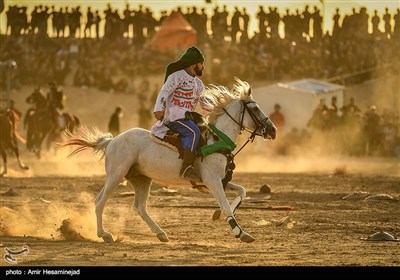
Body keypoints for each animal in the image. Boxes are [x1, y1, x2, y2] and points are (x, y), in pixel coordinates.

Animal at [61, 79, 276, 243]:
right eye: (255, 108)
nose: (273, 130)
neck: (216, 139)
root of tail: (112, 140)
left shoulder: (217, 180)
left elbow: (242, 191)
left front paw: (218, 215)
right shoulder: (212, 180)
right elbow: (225, 204)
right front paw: (240, 232)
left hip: (141, 179)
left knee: (139, 207)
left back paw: (160, 233)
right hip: (116, 175)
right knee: (100, 201)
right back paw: (104, 234)